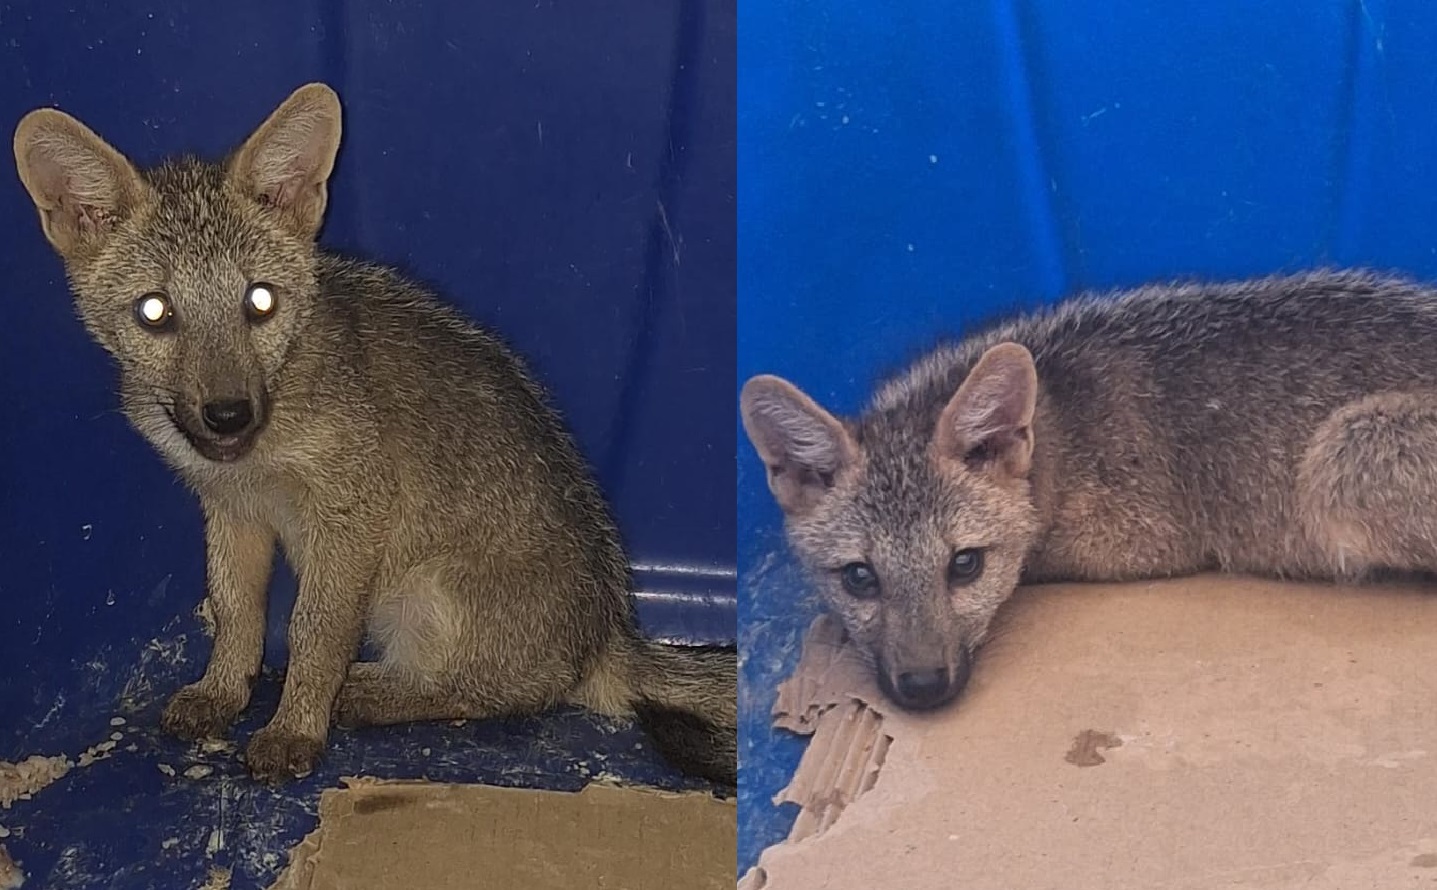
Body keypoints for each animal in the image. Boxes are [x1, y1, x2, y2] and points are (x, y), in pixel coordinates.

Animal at [13, 83, 735, 787]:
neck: (260, 456)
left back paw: (366, 694)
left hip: (419, 596)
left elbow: (315, 630)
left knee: (499, 693)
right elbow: (235, 609)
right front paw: (222, 691)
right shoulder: (230, 510)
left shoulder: (352, 516)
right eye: (154, 311)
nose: (228, 416)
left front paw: (295, 728)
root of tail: (610, 632)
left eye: (260, 301)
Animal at [742, 269, 1437, 712]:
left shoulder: (1138, 544)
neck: (1057, 420)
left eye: (965, 565)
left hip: (1344, 456)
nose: (922, 686)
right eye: (860, 577)